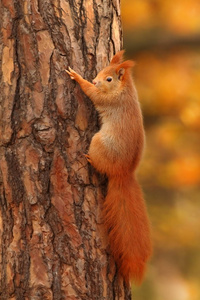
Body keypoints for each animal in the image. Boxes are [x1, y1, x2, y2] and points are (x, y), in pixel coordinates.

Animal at [65, 49, 152, 284]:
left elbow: (92, 94)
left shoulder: (109, 99)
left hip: (98, 143)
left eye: (109, 79)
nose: (95, 80)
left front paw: (78, 78)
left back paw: (88, 159)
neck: (125, 89)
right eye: (101, 70)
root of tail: (123, 173)